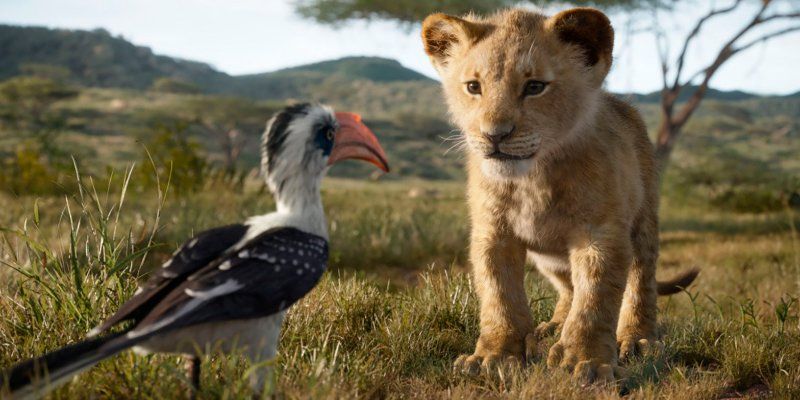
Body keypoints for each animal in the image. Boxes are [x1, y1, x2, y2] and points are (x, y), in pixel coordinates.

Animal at [421, 7, 698, 382]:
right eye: (473, 87)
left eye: (535, 86)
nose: (494, 135)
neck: (533, 179)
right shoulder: (493, 233)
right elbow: (499, 295)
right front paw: (494, 356)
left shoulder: (600, 234)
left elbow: (595, 298)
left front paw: (587, 361)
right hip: (548, 257)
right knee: (568, 287)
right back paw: (551, 327)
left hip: (643, 222)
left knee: (641, 280)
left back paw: (638, 339)